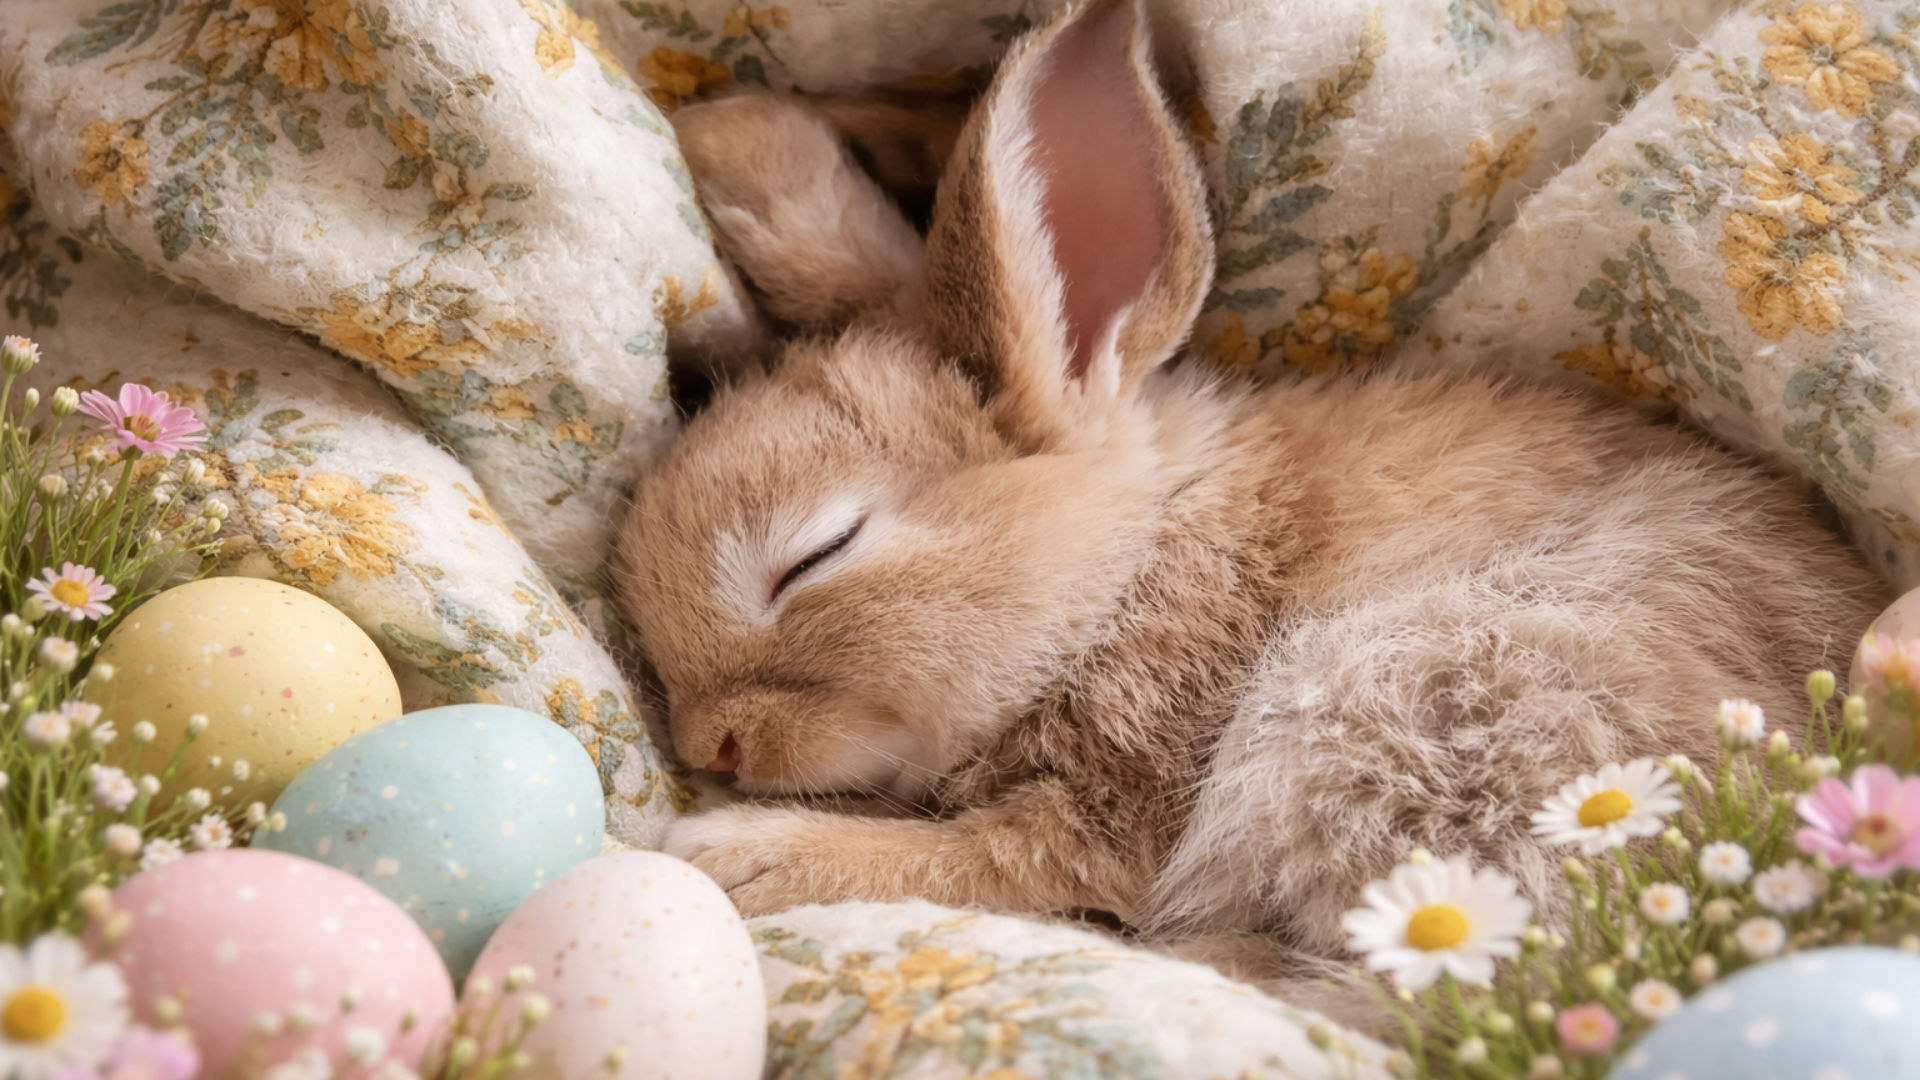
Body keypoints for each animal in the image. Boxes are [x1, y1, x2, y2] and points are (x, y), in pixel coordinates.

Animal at [612, 0, 1887, 1020]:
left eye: (818, 553)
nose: (712, 744)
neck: (1132, 566)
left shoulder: (1124, 803)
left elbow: (987, 866)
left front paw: (731, 854)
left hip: (1396, 697)